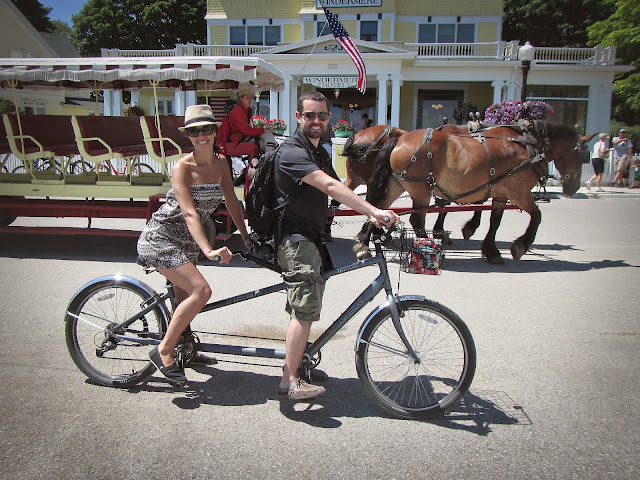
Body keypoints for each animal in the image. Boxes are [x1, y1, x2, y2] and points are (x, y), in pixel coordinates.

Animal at [355, 120, 590, 264]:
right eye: (582, 155)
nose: (574, 187)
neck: (528, 144)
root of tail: (399, 139)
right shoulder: (519, 191)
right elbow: (537, 215)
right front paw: (520, 246)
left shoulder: (500, 192)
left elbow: (495, 221)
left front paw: (491, 250)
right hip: (420, 189)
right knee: (416, 220)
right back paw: (428, 249)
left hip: (397, 184)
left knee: (378, 208)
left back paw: (364, 242)